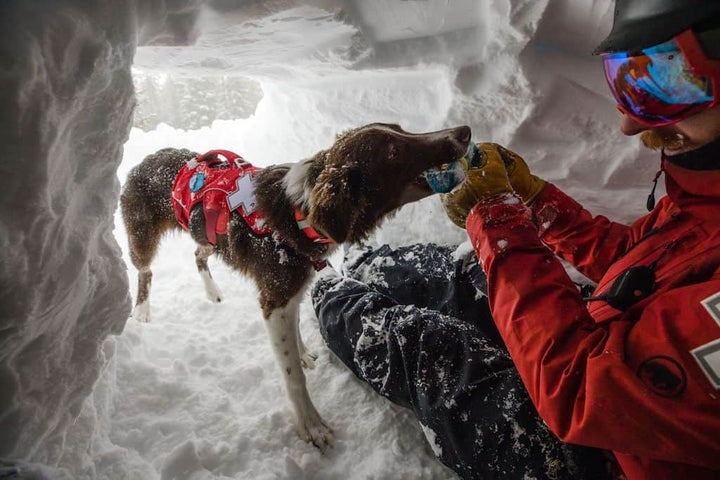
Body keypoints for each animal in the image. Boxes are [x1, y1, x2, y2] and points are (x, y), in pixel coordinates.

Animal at [120, 123, 472, 450]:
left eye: (400, 130)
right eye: (393, 152)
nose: (464, 132)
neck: (299, 214)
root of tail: (148, 158)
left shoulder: (295, 289)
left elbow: (297, 328)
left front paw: (302, 352)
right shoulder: (274, 298)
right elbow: (293, 375)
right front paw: (310, 425)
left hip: (208, 236)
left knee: (197, 255)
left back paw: (212, 292)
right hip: (143, 236)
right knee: (144, 271)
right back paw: (142, 310)